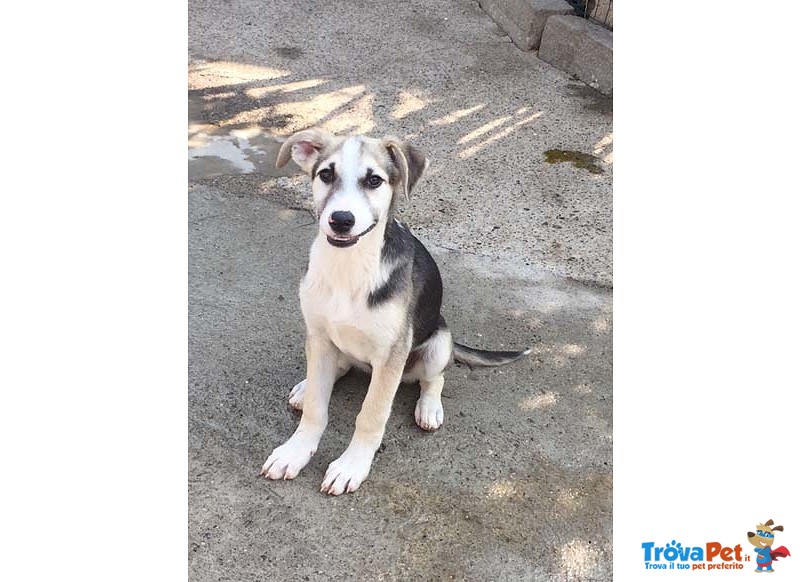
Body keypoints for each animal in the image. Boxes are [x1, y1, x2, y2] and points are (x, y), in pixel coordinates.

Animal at [260, 129, 528, 498]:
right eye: (325, 174)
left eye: (374, 180)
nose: (341, 220)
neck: (350, 267)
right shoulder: (318, 333)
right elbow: (316, 407)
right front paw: (296, 451)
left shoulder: (392, 353)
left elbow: (371, 415)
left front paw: (351, 465)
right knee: (337, 369)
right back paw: (306, 386)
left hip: (438, 341)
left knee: (434, 378)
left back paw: (429, 407)